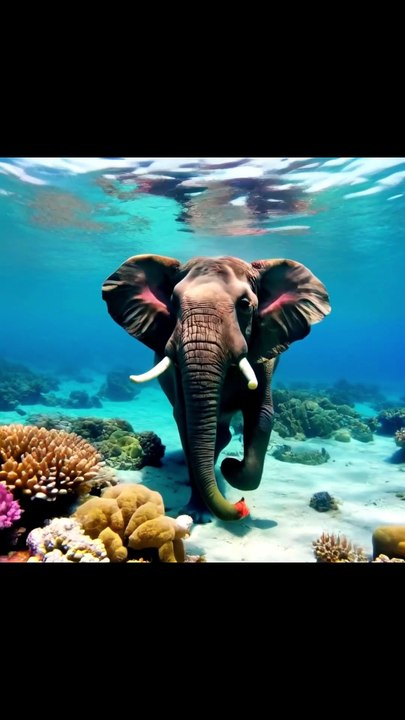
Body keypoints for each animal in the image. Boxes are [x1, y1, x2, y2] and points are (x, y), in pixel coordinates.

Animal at [102, 254, 331, 523]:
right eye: (173, 302)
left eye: (245, 304)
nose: (240, 506)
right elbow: (186, 422)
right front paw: (197, 513)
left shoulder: (264, 361)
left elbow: (262, 417)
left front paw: (230, 468)